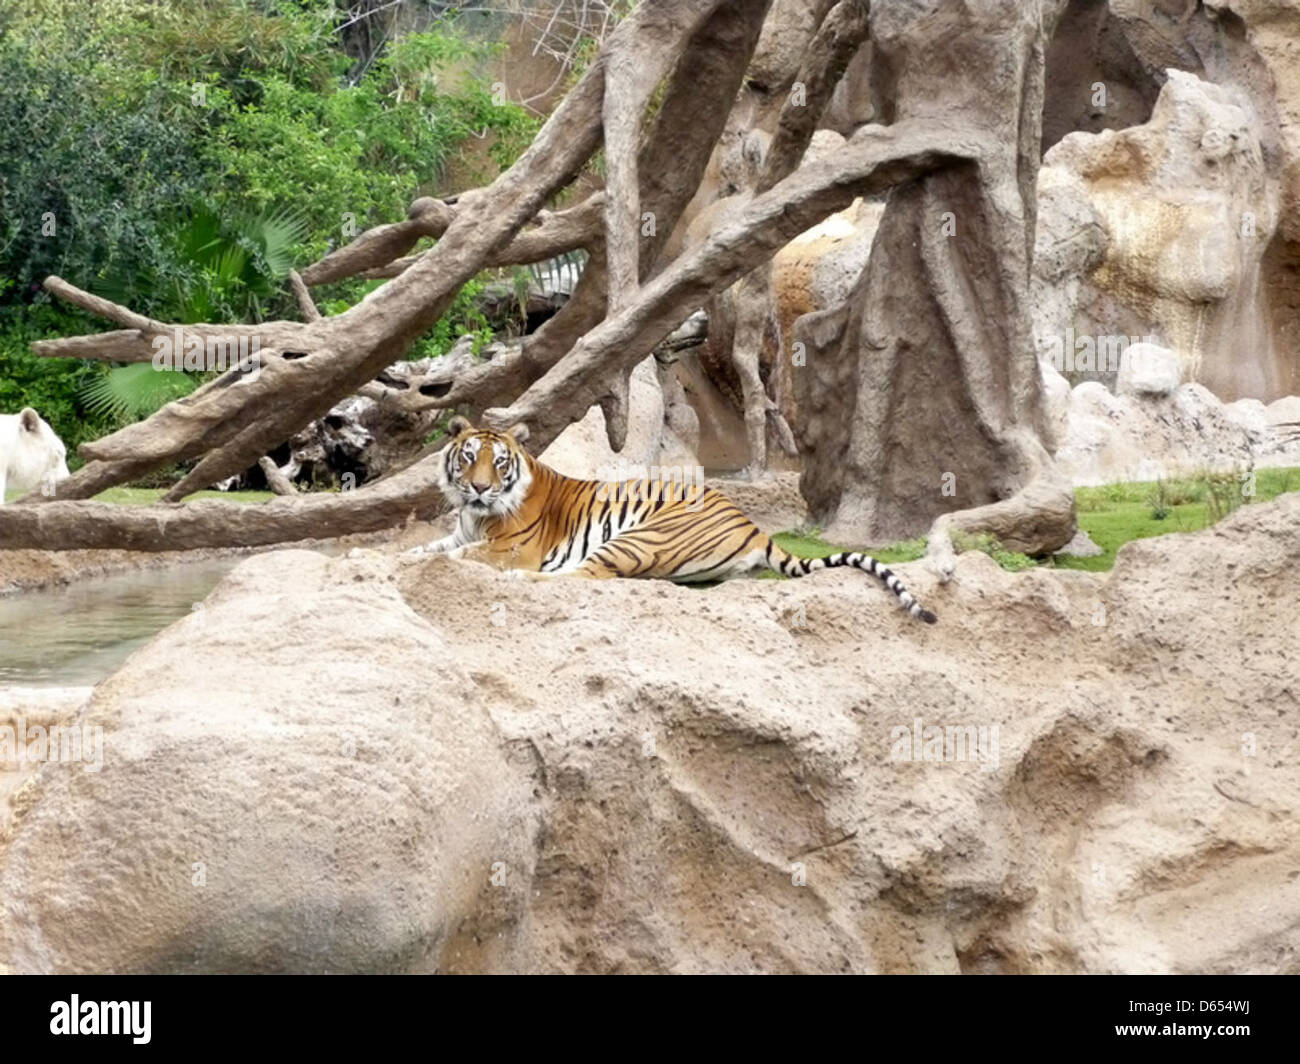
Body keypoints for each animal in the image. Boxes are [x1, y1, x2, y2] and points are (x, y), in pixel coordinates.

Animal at [405, 411, 935, 616]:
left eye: (499, 462)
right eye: (468, 457)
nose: (479, 487)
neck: (474, 514)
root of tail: (754, 527)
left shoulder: (510, 548)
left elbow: (463, 557)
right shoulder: (458, 533)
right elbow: (423, 550)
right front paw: (402, 560)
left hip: (640, 536)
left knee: (584, 578)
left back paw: (524, 582)